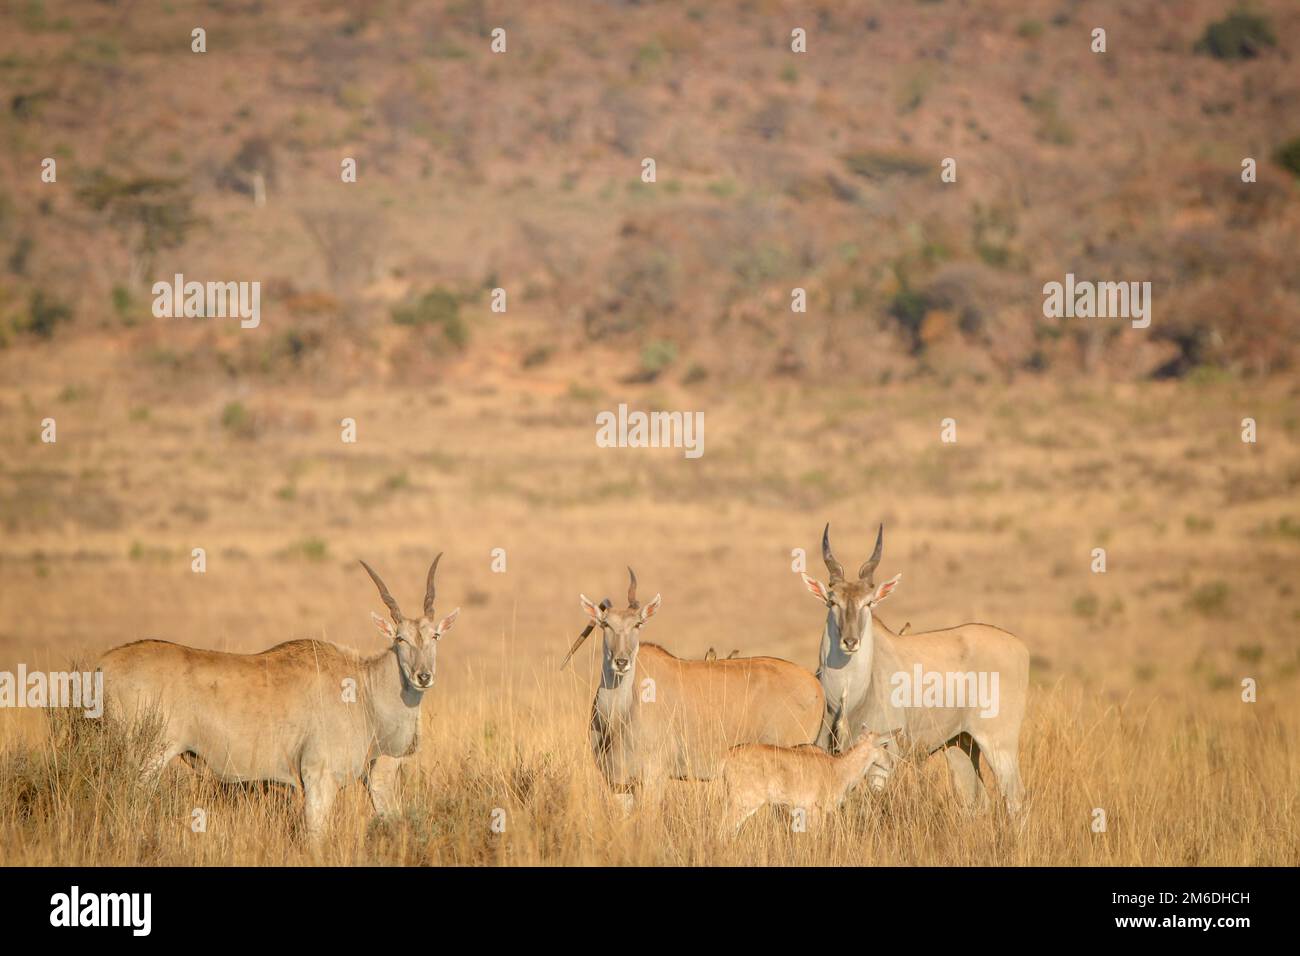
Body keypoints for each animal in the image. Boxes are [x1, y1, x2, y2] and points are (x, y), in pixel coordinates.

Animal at [97, 554, 462, 837]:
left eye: (435, 635)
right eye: (400, 639)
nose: (423, 676)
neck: (362, 688)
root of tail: (103, 664)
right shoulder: (319, 779)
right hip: (148, 759)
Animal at [561, 572, 821, 811]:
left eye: (638, 624)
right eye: (606, 624)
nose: (621, 662)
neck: (618, 717)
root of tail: (815, 683)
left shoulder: (654, 779)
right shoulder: (619, 785)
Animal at [800, 528, 1024, 816]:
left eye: (868, 603)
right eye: (832, 601)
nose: (850, 641)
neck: (847, 697)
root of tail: (1020, 646)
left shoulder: (882, 761)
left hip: (999, 744)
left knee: (1014, 797)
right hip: (960, 744)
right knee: (976, 799)